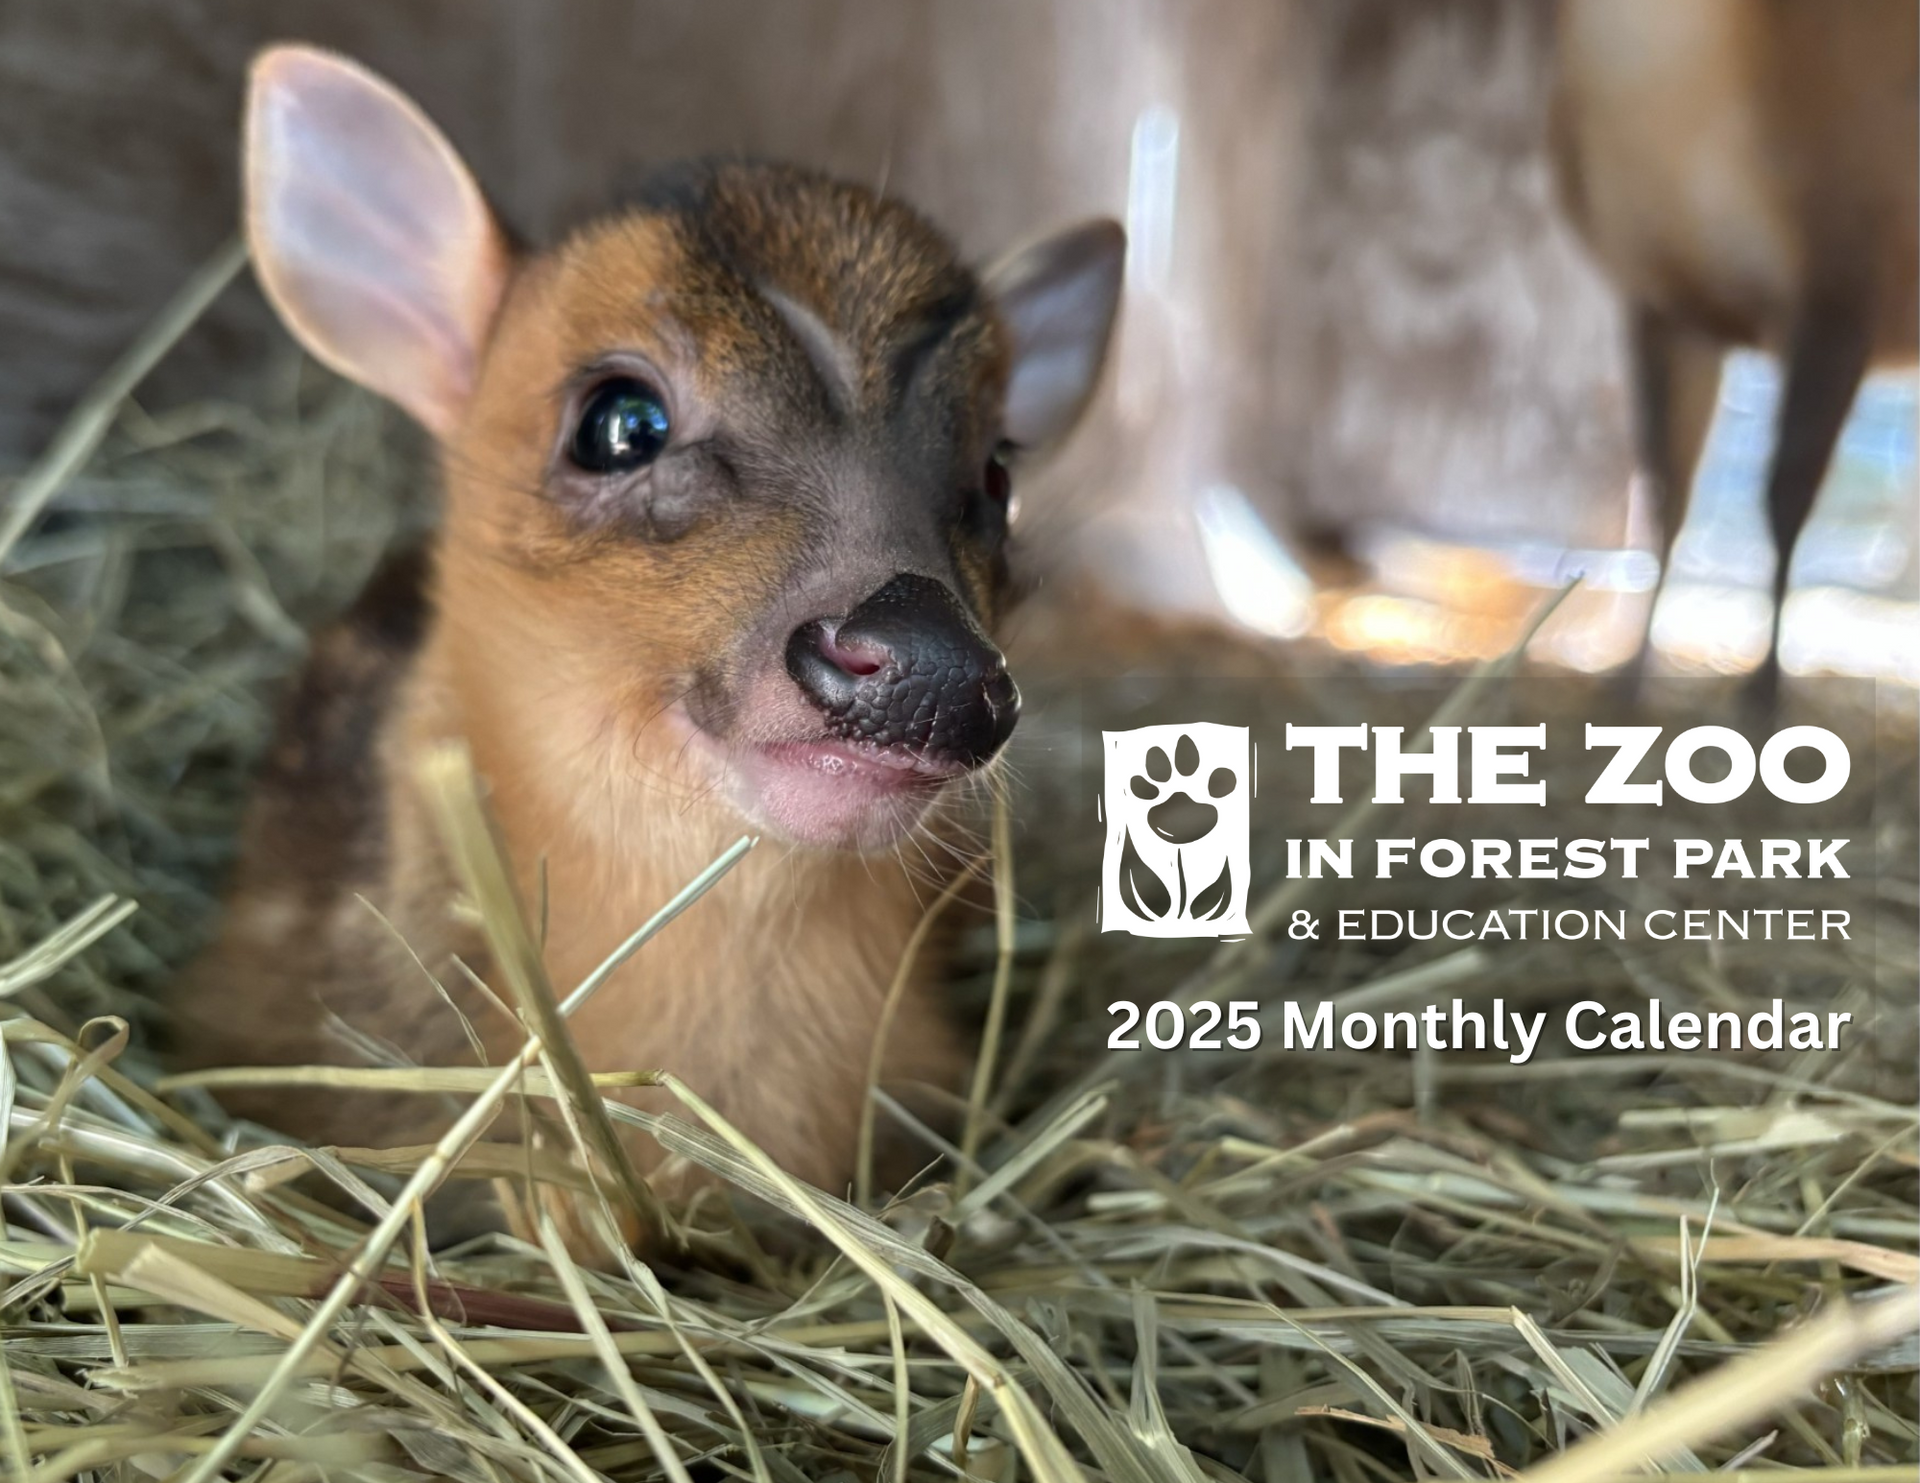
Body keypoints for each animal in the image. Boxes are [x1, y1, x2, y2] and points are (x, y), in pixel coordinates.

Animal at [1551, 0, 1912, 699]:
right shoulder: (1665, 308)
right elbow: (1664, 495)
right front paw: (1628, 680)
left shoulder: (1842, 292)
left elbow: (1785, 497)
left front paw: (1764, 691)